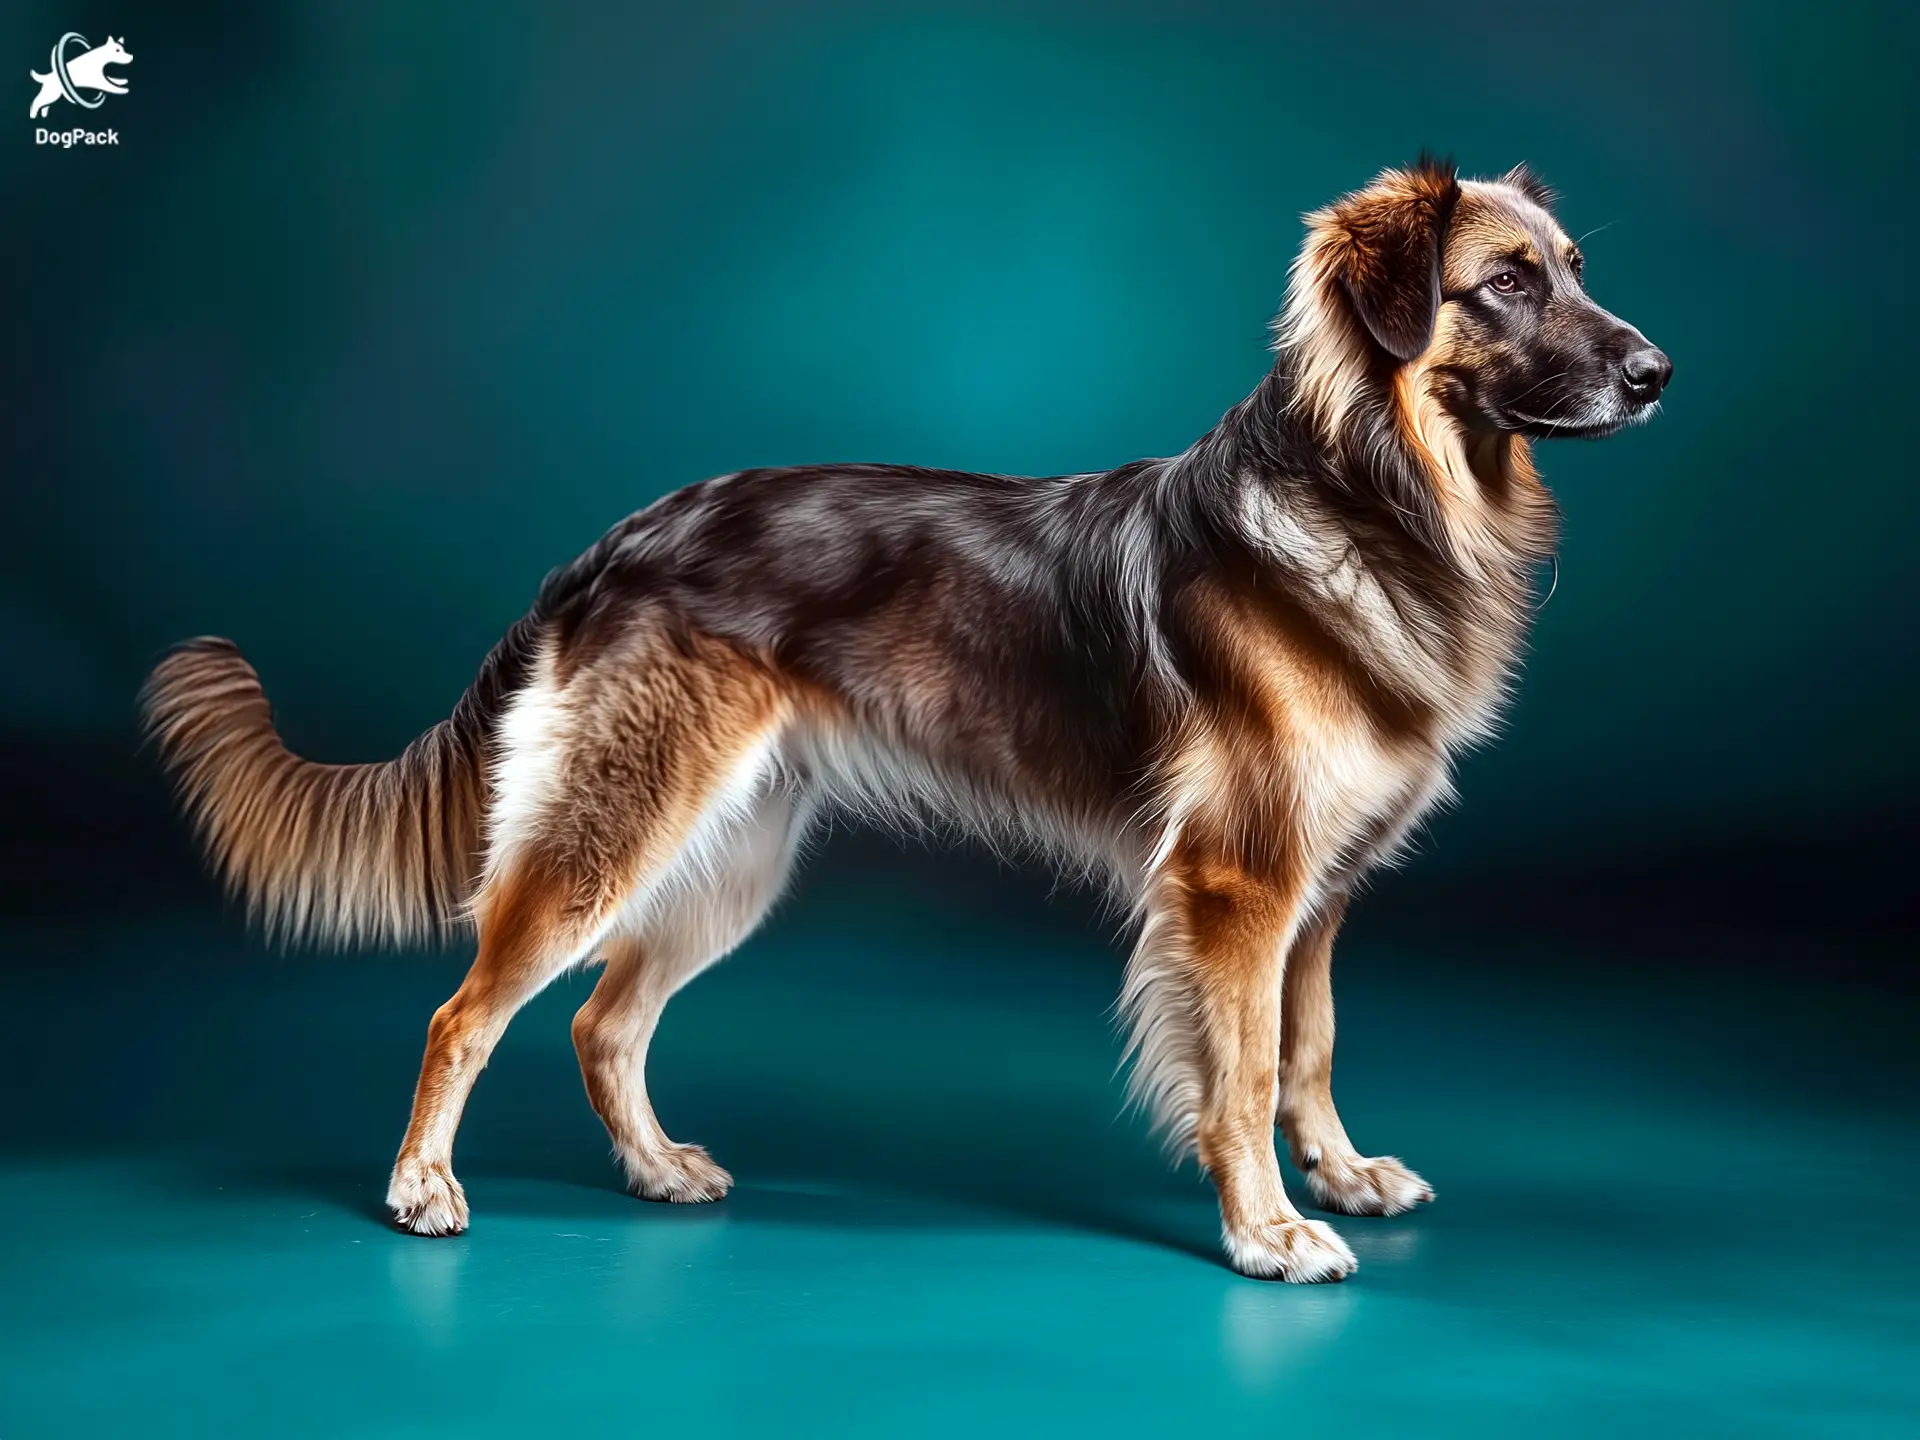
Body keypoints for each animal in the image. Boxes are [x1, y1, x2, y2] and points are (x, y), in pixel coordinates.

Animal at [142, 160, 1666, 1282]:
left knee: (600, 1021)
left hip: (736, 855)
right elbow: (1239, 1071)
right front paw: (1269, 1231)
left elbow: (1313, 1045)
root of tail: (617, 540)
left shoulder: (1322, 888)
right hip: (615, 829)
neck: (1376, 495)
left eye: (1578, 268)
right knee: (466, 1011)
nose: (1657, 371)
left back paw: (657, 1168)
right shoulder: (1239, 885)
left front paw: (1337, 1177)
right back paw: (423, 1187)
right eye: (1506, 283)